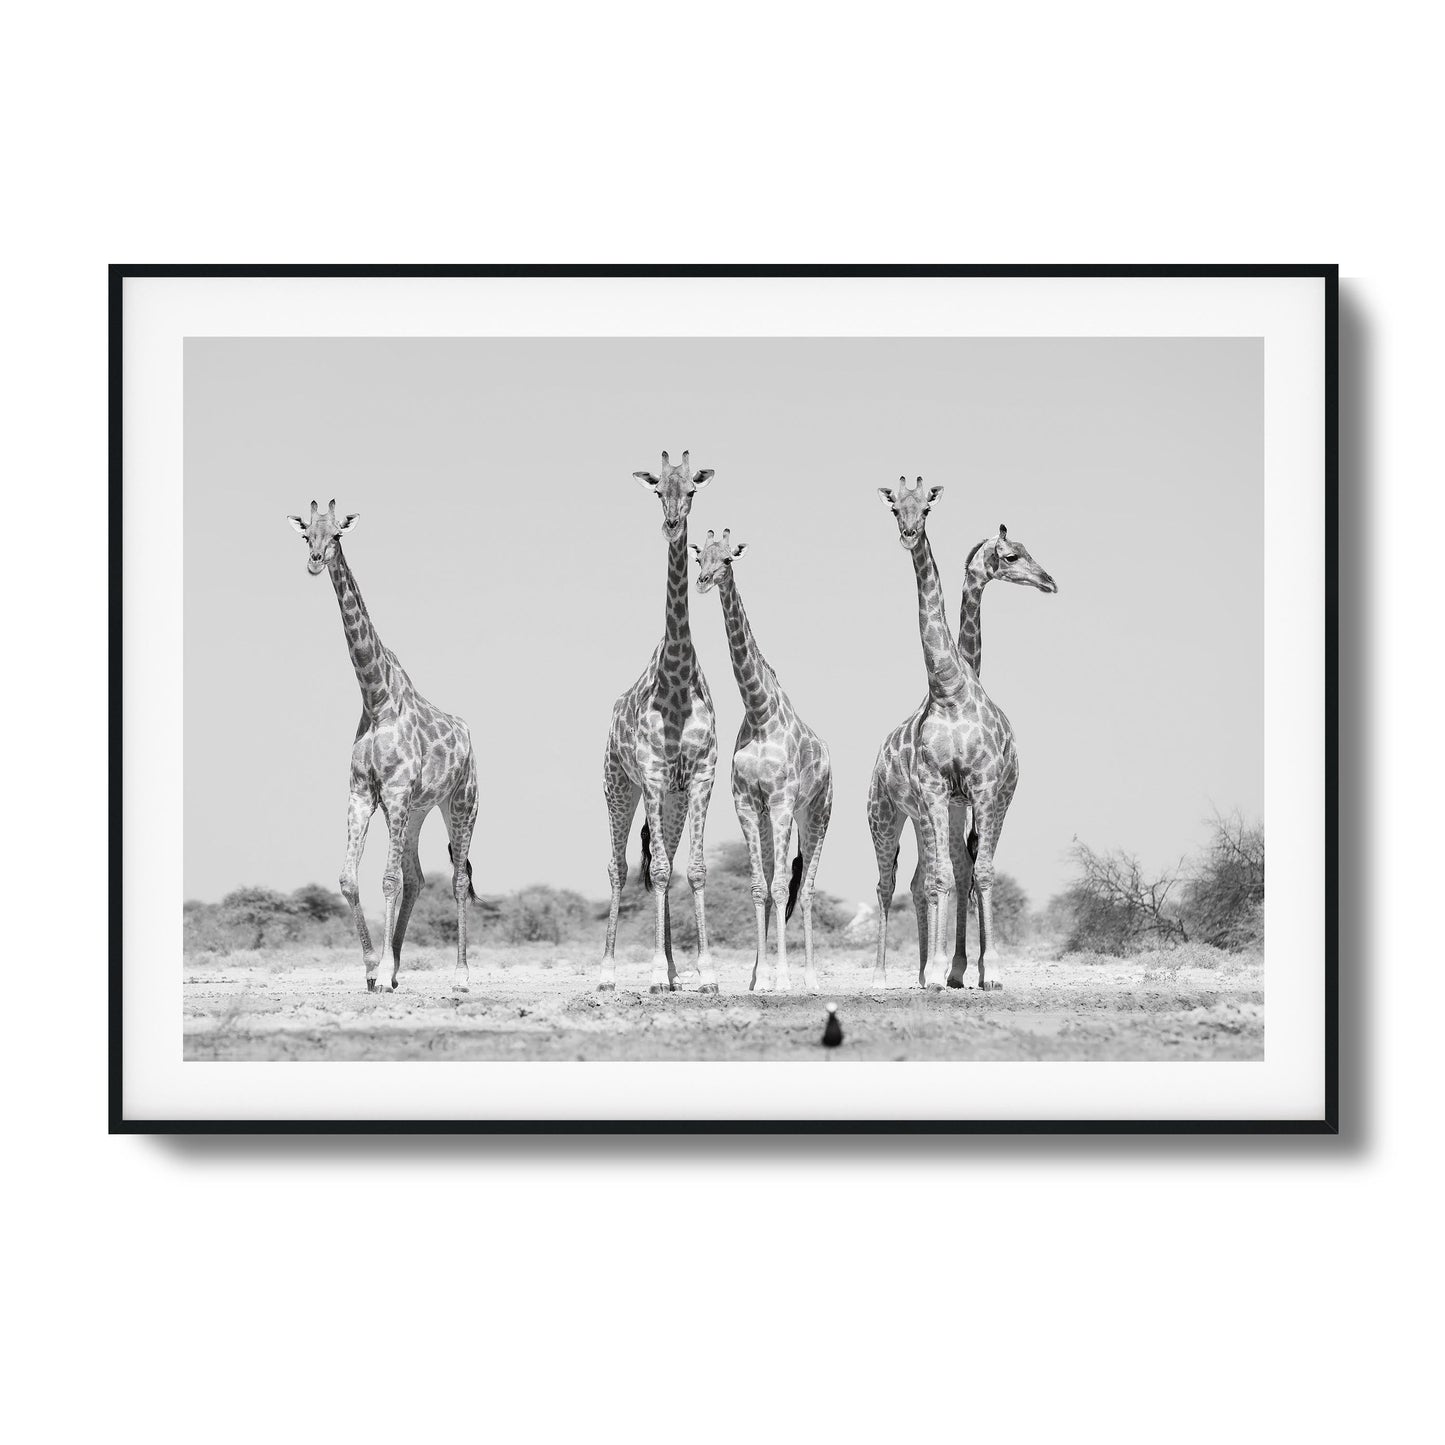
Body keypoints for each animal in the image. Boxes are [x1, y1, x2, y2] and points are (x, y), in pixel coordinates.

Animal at [286, 500, 481, 993]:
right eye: (307, 534)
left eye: (337, 534)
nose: (314, 561)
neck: (376, 700)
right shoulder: (362, 793)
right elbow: (349, 879)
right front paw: (375, 968)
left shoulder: (393, 793)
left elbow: (388, 880)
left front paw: (384, 967)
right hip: (418, 811)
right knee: (418, 877)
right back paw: (395, 971)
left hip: (461, 803)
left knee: (456, 878)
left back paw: (461, 975)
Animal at [693, 529, 834, 994]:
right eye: (699, 557)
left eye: (727, 559)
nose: (702, 581)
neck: (758, 711)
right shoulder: (746, 802)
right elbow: (759, 886)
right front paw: (758, 978)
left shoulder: (782, 801)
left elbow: (780, 888)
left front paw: (784, 979)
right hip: (778, 816)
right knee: (780, 882)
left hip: (816, 814)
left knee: (805, 889)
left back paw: (810, 978)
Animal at [901, 523, 1058, 979]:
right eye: (1011, 556)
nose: (1049, 581)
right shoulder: (951, 796)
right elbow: (957, 872)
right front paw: (954, 968)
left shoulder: (981, 793)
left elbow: (976, 871)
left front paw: (977, 968)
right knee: (949, 871)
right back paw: (945, 968)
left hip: (994, 798)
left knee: (969, 869)